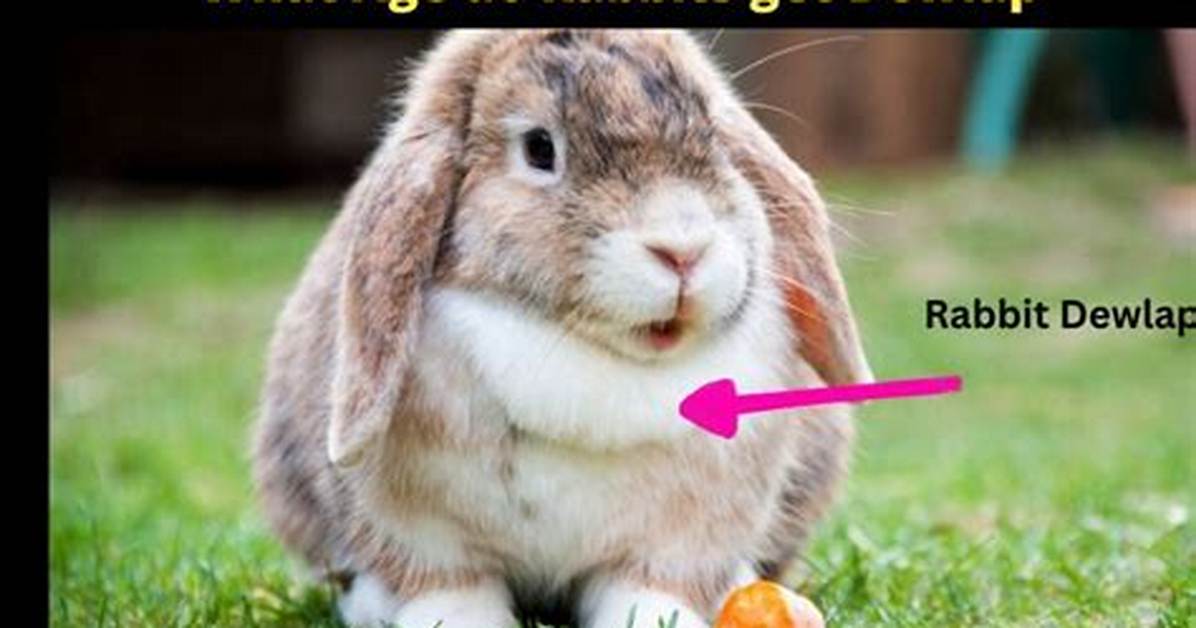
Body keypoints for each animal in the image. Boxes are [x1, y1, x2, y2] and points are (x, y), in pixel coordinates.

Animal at [252, 29, 871, 628]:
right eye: (539, 148)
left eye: (714, 136)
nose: (683, 249)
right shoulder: (425, 535)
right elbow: (450, 588)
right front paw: (453, 620)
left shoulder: (681, 537)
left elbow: (648, 588)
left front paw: (657, 617)